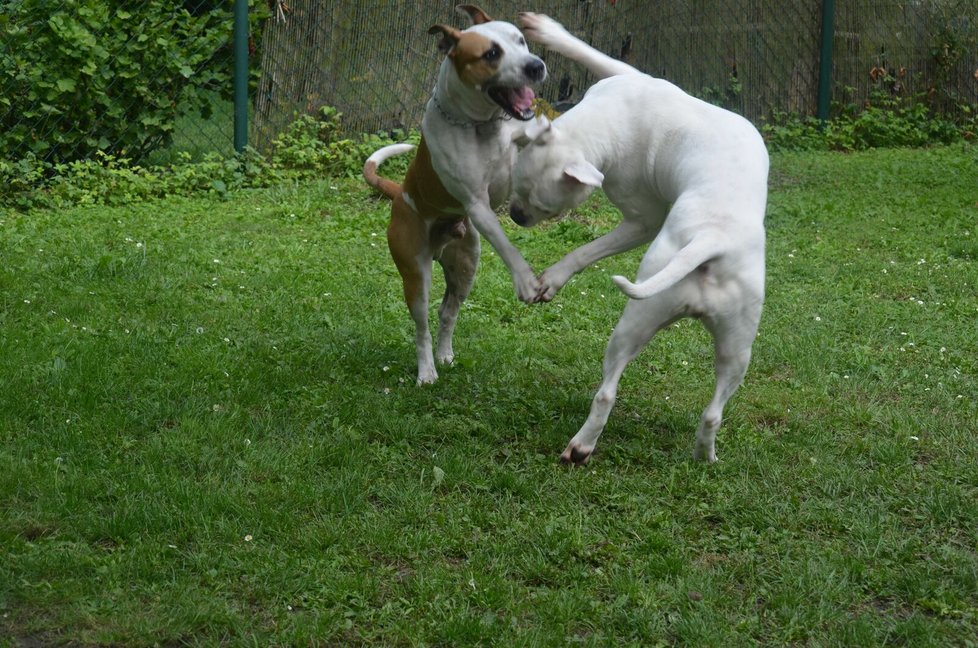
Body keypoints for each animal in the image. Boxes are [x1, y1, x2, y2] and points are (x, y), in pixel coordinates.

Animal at [364, 5, 548, 384]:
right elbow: (507, 246)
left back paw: (445, 354)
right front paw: (525, 281)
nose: (535, 66)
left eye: (521, 41)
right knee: (421, 325)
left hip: (465, 266)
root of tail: (400, 193)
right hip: (415, 274)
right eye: (491, 54)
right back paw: (426, 370)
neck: (482, 124)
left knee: (447, 312)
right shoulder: (477, 206)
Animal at [510, 12, 772, 464]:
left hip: (633, 320)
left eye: (539, 204)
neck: (606, 121)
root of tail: (709, 240)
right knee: (712, 412)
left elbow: (585, 251)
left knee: (606, 392)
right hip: (734, 347)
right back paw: (703, 456)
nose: (513, 214)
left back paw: (581, 446)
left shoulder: (641, 221)